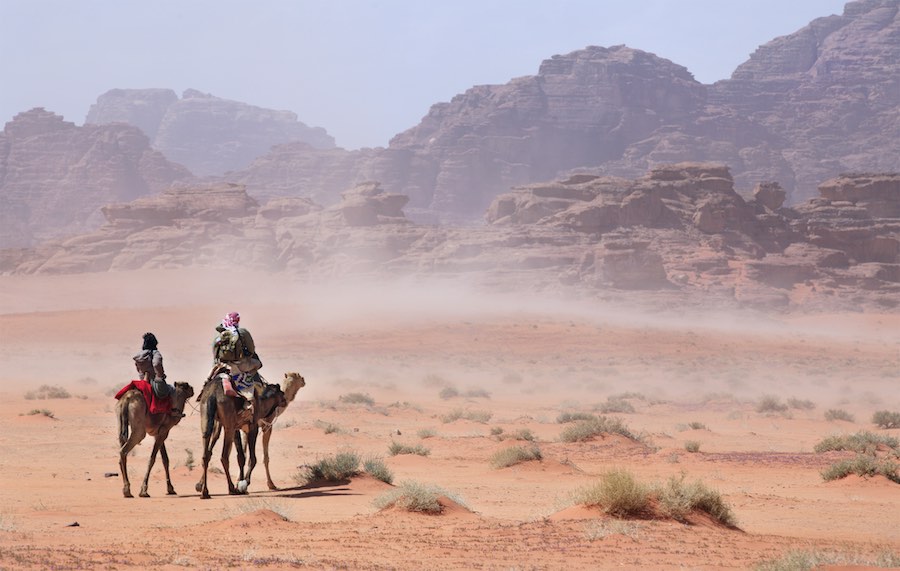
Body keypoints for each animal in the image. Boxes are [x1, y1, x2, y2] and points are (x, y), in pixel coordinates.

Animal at [198, 370, 288, 500]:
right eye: (282, 393)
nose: (285, 400)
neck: (261, 403)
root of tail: (212, 394)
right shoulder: (252, 427)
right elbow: (252, 458)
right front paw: (245, 484)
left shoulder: (237, 427)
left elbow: (241, 457)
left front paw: (241, 483)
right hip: (228, 425)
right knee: (224, 456)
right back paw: (231, 489)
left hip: (206, 417)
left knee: (206, 454)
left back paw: (205, 492)